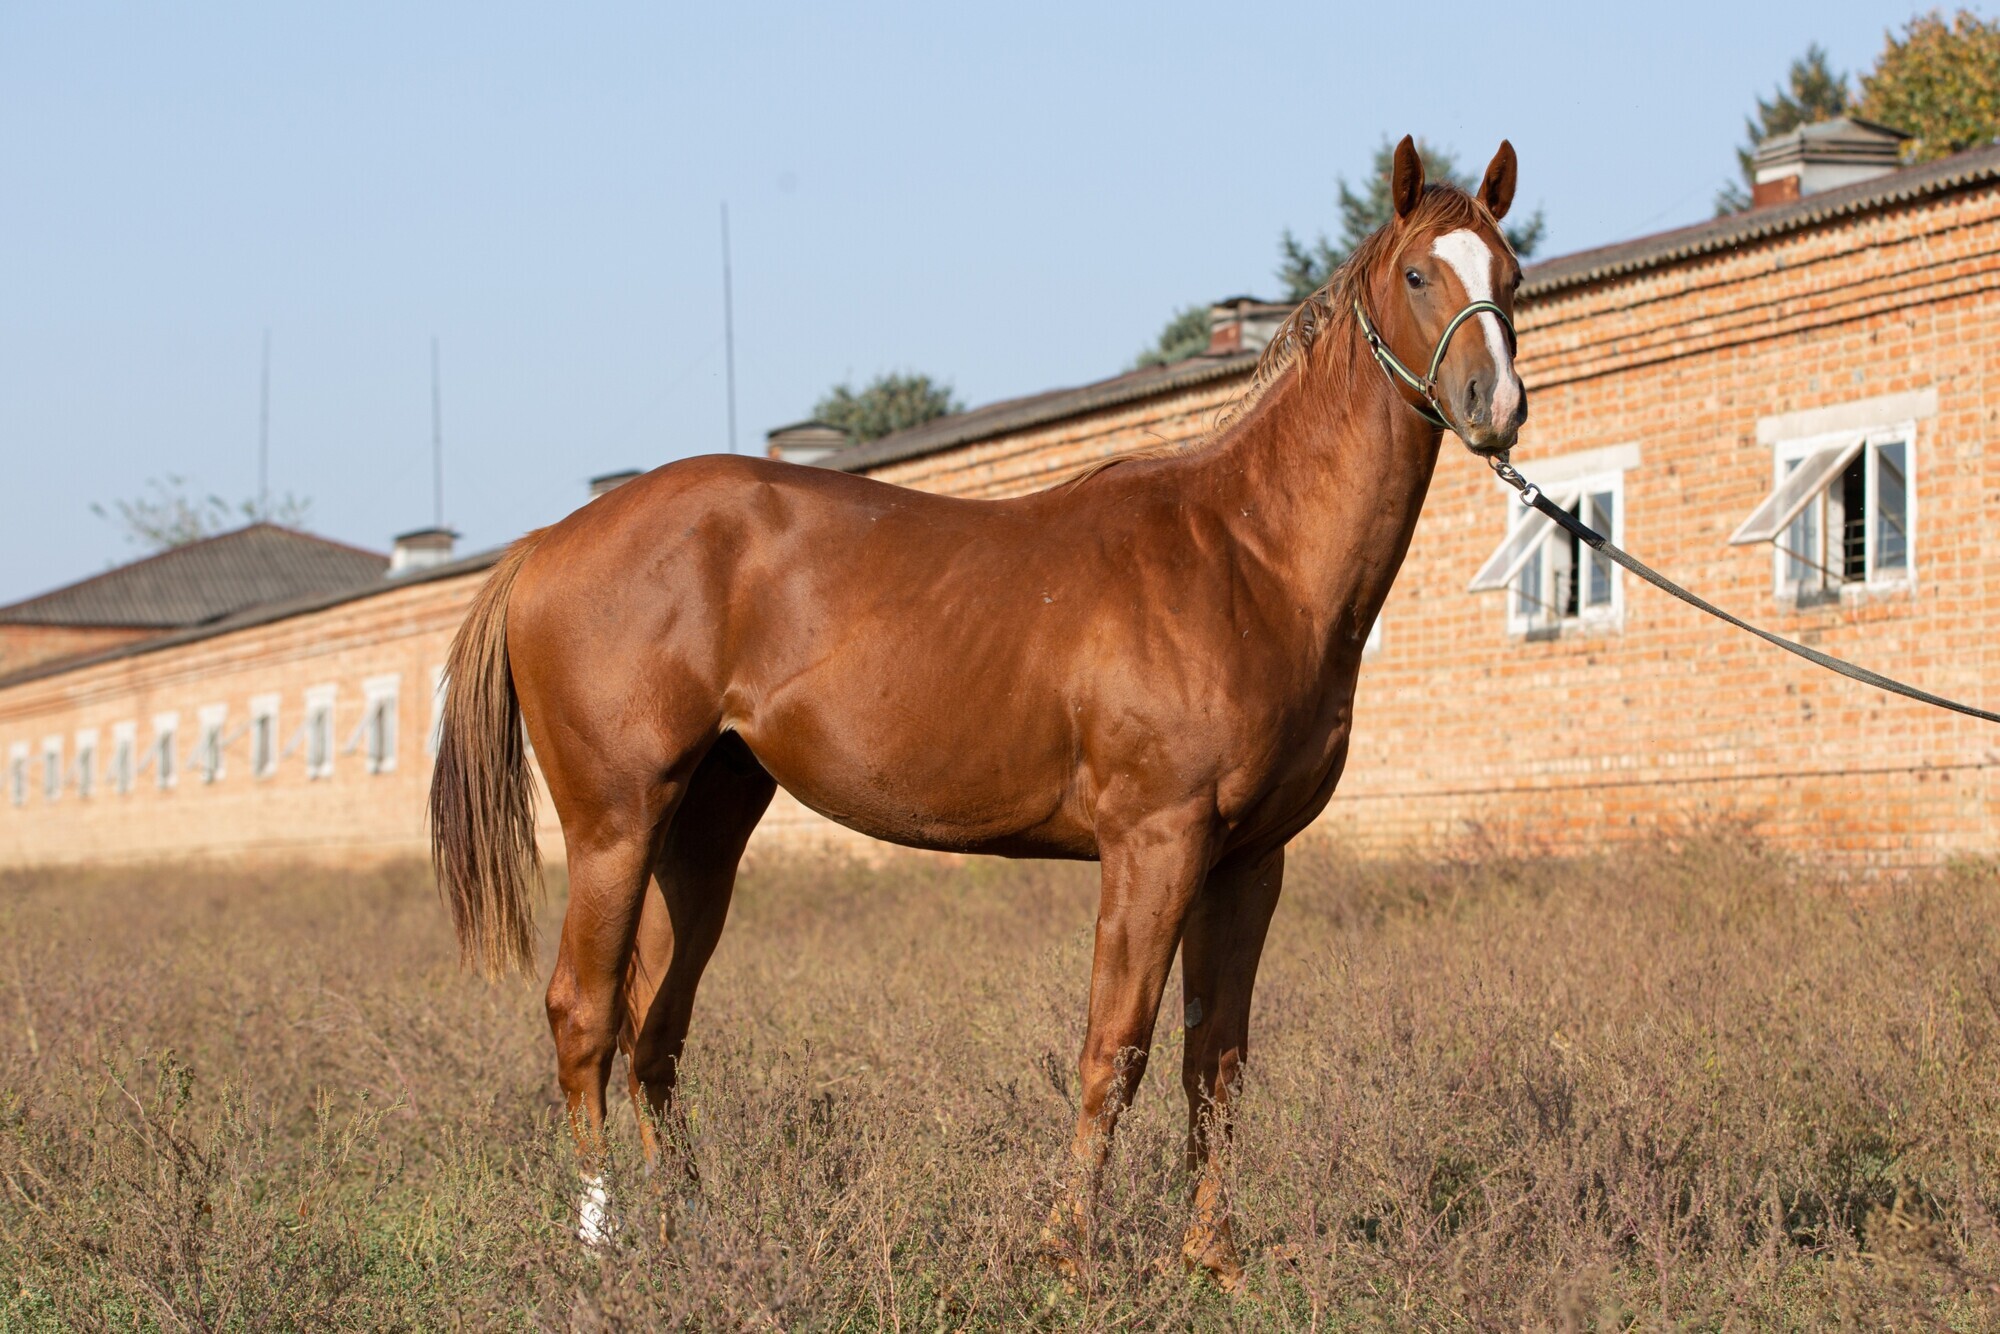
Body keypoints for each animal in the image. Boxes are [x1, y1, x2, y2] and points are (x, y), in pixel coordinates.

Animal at [434, 133, 1528, 1280]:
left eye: (1511, 276)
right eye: (1418, 275)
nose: (1494, 406)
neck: (1247, 556)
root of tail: (547, 544)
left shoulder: (1248, 861)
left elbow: (1215, 1065)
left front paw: (1213, 1264)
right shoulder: (1155, 844)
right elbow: (1114, 1049)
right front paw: (1064, 1256)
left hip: (705, 824)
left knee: (656, 1024)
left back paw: (686, 1231)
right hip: (614, 820)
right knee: (582, 1011)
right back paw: (601, 1242)